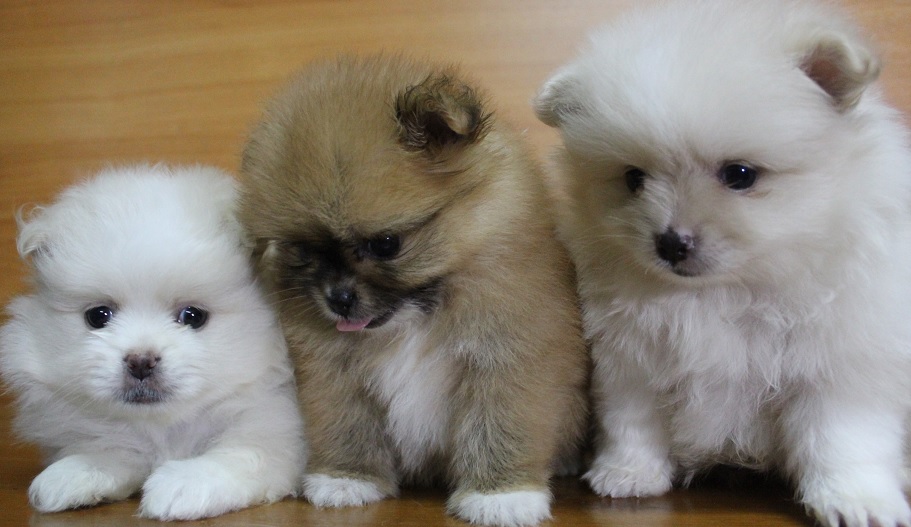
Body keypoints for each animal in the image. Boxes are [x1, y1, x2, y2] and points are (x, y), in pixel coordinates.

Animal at [0, 165, 305, 520]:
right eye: (98, 316)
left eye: (192, 316)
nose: (140, 360)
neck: (164, 426)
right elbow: (112, 451)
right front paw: (70, 474)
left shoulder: (273, 432)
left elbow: (239, 455)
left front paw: (183, 484)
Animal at [239, 55, 589, 527]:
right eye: (304, 251)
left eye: (386, 244)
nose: (337, 299)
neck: (420, 319)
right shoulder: (335, 374)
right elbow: (347, 424)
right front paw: (348, 478)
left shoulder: (507, 360)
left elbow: (499, 424)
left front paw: (501, 494)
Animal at [534, 1, 911, 526]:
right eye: (633, 179)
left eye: (740, 175)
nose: (671, 243)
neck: (725, 290)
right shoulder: (630, 357)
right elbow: (634, 419)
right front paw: (629, 473)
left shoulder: (840, 362)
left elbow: (843, 437)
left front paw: (857, 499)